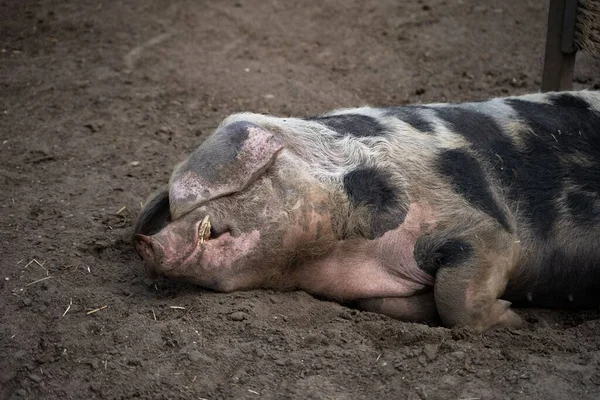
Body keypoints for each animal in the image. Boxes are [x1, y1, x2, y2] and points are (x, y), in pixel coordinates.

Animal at [134, 90, 600, 332]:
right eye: (169, 212)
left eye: (190, 205)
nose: (145, 242)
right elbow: (398, 304)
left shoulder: (490, 232)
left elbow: (458, 296)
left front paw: (516, 320)